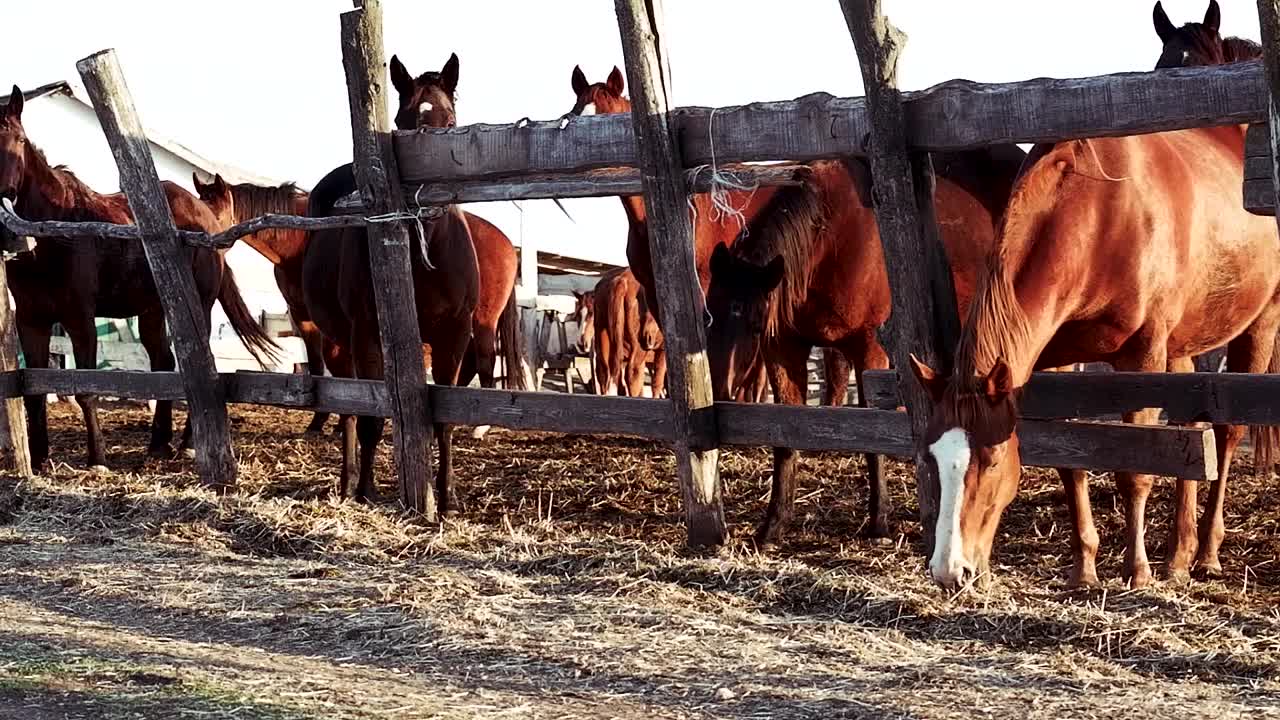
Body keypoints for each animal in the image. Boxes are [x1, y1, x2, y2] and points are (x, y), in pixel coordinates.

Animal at [0, 87, 280, 468]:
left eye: (16, 139)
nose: (4, 198)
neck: (55, 229)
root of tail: (207, 218)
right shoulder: (31, 320)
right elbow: (35, 391)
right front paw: (40, 458)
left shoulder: (79, 318)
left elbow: (86, 389)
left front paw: (97, 458)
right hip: (153, 312)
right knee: (164, 362)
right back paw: (159, 442)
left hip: (199, 308)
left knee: (198, 366)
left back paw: (188, 443)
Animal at [303, 53, 481, 502]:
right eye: (401, 122)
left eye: (450, 120)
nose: (429, 201)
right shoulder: (368, 334)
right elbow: (370, 419)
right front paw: (367, 489)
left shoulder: (454, 335)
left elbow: (445, 417)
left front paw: (446, 495)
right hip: (340, 341)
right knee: (352, 410)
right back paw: (348, 481)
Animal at [706, 148, 1024, 545]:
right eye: (709, 318)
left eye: (752, 326)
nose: (721, 391)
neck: (830, 237)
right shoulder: (784, 349)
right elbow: (785, 436)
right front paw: (774, 525)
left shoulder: (869, 350)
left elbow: (874, 440)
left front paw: (879, 521)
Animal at [911, 1, 1280, 589]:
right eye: (930, 456)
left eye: (988, 460)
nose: (951, 570)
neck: (1097, 216)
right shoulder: (1055, 360)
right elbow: (1072, 461)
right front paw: (1084, 566)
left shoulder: (1141, 356)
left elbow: (1135, 468)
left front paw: (1136, 570)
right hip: (1182, 349)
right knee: (1192, 430)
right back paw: (1179, 554)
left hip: (1257, 325)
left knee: (1225, 433)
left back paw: (1205, 553)